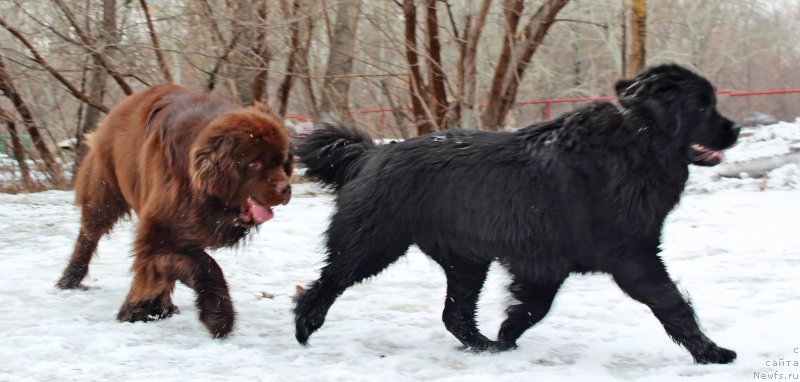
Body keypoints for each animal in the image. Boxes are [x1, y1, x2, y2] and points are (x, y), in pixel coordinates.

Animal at [57, 84, 294, 338]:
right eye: (255, 164)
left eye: (282, 162)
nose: (286, 188)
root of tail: (119, 108)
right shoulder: (160, 230)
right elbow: (204, 267)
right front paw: (217, 316)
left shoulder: (185, 229)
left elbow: (176, 266)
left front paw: (145, 308)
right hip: (105, 189)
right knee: (90, 233)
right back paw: (70, 278)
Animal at [294, 64, 736, 362]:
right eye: (702, 107)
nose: (734, 130)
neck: (638, 142)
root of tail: (371, 154)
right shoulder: (631, 257)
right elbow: (671, 303)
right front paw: (711, 353)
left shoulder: (547, 264)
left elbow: (532, 307)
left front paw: (507, 335)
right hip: (372, 245)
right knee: (326, 282)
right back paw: (304, 328)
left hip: (466, 261)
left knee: (455, 313)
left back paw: (484, 346)